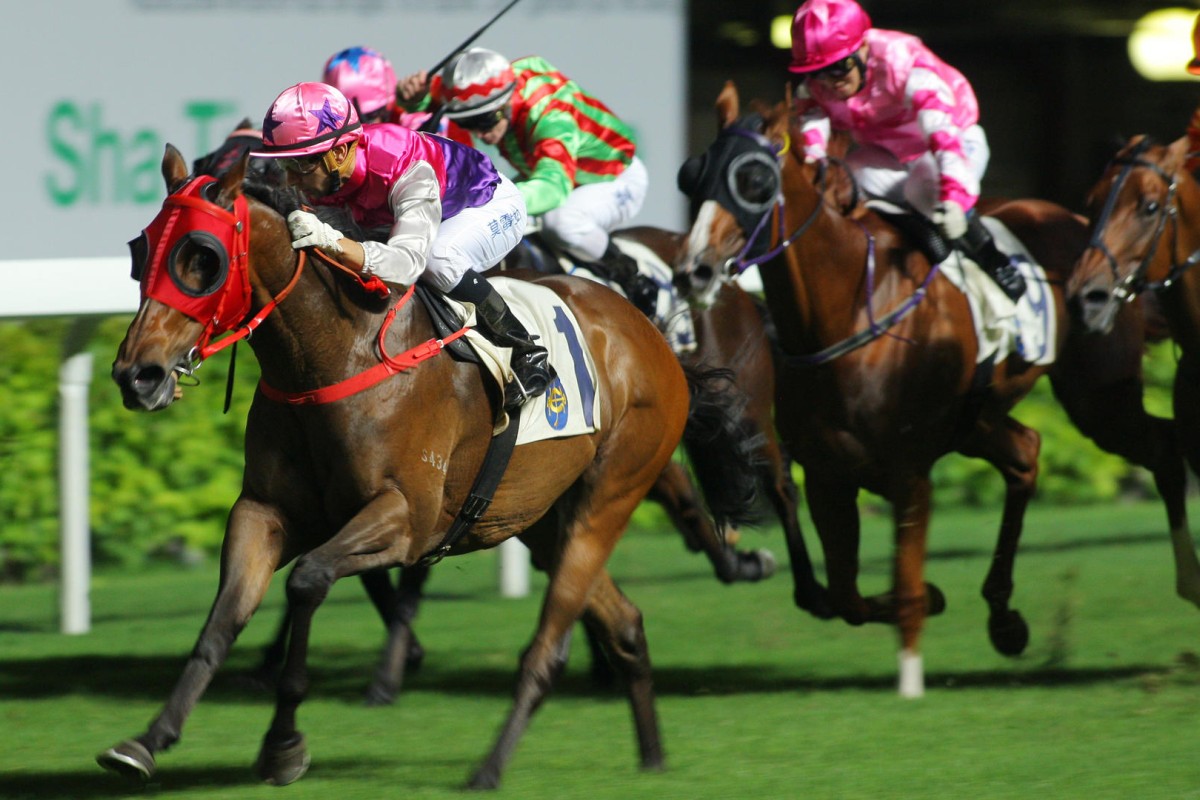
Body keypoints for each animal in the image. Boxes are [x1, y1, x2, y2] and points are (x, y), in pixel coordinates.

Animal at [103, 143, 758, 786]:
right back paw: (653, 757)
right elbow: (221, 623)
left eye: (201, 256)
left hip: (609, 497)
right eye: (142, 249)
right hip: (543, 518)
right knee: (625, 624)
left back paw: (489, 770)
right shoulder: (263, 512)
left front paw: (284, 743)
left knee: (550, 646)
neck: (336, 354)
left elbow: (308, 580)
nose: (138, 375)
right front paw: (149, 740)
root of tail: (653, 337)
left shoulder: (408, 520)